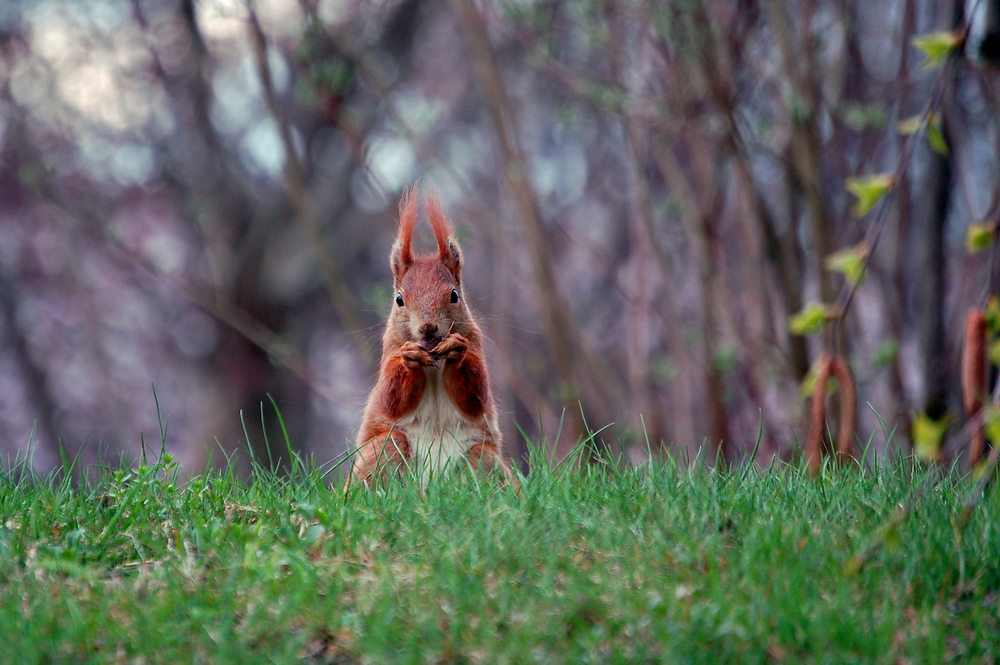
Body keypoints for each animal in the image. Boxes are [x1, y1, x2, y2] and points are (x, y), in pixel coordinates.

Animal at [346, 187, 516, 488]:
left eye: (454, 295)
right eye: (399, 299)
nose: (428, 327)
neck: (434, 363)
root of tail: (430, 488)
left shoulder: (476, 343)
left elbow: (476, 395)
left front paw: (457, 352)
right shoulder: (389, 348)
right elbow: (390, 397)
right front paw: (410, 358)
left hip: (482, 457)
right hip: (385, 448)